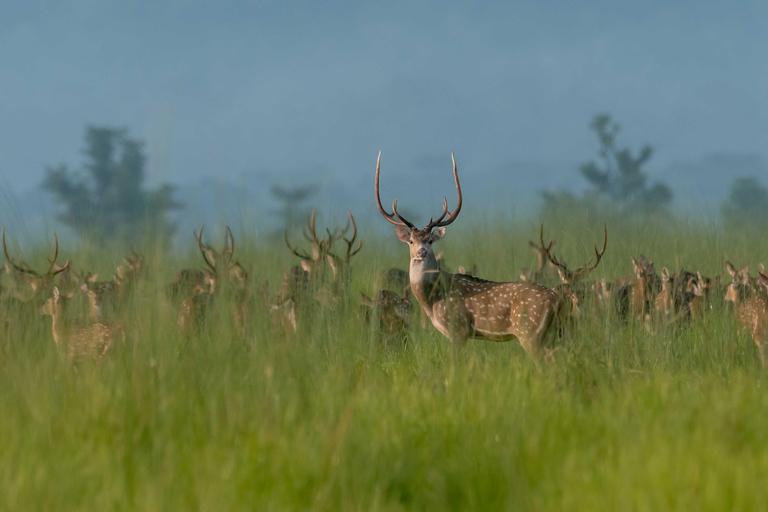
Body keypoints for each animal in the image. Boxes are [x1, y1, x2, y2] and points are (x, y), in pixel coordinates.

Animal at [376, 152, 564, 358]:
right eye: (411, 241)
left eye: (430, 240)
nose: (422, 251)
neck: (432, 300)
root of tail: (557, 300)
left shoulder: (458, 328)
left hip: (530, 332)